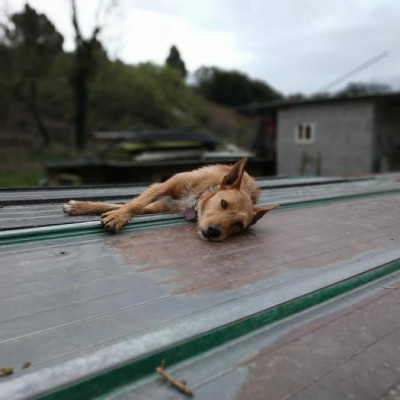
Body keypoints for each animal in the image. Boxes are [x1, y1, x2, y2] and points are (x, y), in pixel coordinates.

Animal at [63, 158, 278, 241]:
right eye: (224, 203)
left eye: (239, 225)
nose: (214, 232)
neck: (195, 201)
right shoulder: (165, 186)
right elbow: (134, 204)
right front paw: (116, 216)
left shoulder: (160, 206)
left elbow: (132, 205)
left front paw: (116, 214)